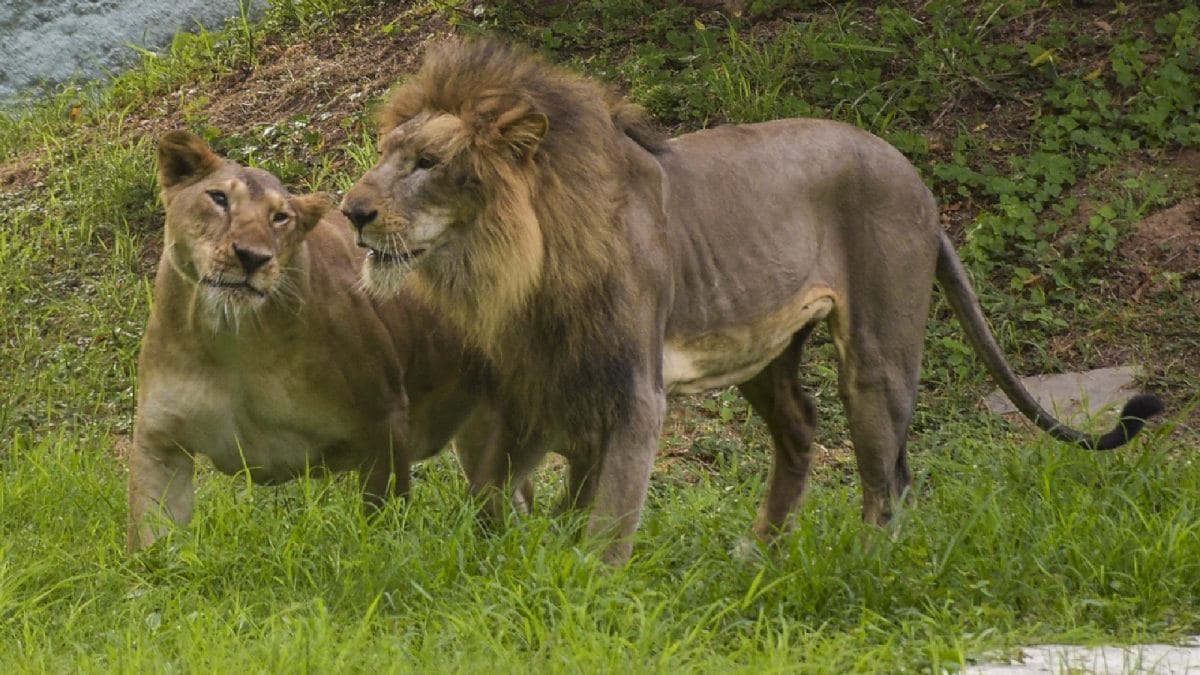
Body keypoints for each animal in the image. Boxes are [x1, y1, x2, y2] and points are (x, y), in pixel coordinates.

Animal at [127, 130, 524, 552]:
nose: (251, 257)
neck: (232, 340)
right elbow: (151, 538)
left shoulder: (383, 420)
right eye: (218, 198)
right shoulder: (160, 443)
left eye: (280, 217)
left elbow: (383, 519)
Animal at [340, 38, 1164, 564]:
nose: (350, 211)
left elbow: (609, 516)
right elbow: (500, 492)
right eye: (386, 154)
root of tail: (921, 184)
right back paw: (756, 555)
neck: (518, 261)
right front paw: (500, 568)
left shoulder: (632, 390)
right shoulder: (543, 382)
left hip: (878, 353)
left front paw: (585, 590)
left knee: (888, 477)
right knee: (801, 434)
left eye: (427, 162)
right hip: (766, 353)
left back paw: (863, 568)